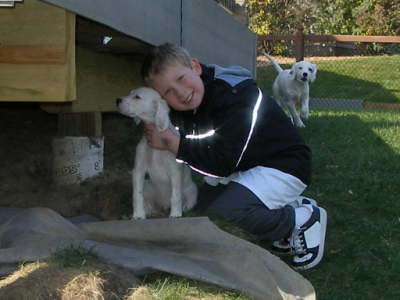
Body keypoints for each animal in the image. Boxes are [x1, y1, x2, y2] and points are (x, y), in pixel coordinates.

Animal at [115, 86, 198, 218]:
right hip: (148, 186)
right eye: (130, 93)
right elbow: (137, 194)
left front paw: (175, 214)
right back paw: (149, 210)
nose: (117, 100)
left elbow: (176, 196)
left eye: (137, 97)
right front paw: (138, 215)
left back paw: (184, 208)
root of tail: (163, 206)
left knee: (189, 200)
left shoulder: (175, 171)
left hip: (192, 189)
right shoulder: (138, 169)